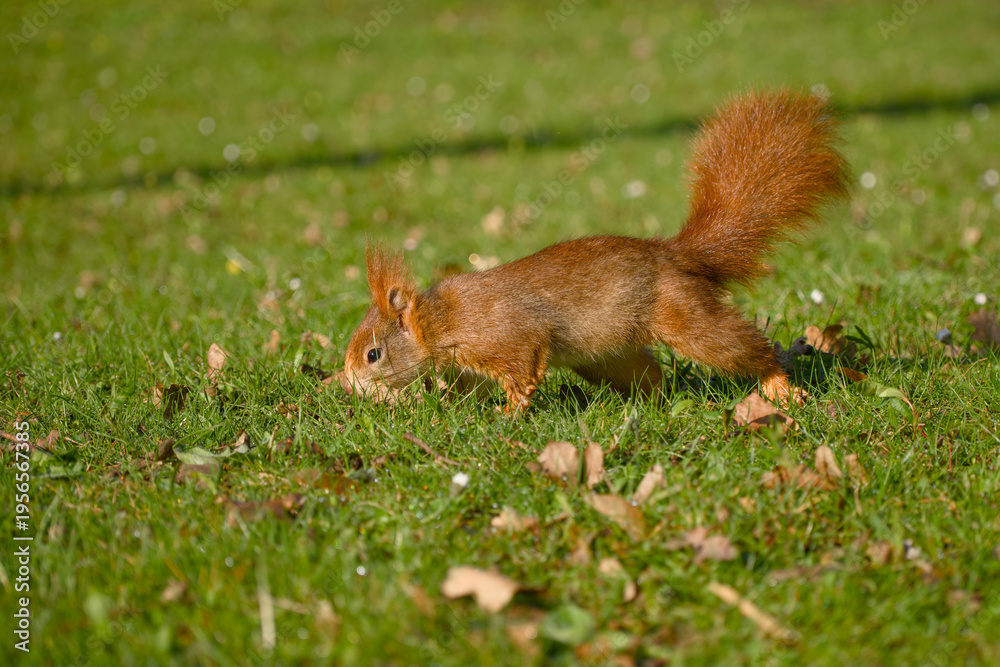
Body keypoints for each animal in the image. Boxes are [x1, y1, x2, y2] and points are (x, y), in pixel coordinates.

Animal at [341, 89, 850, 413]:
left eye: (373, 355)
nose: (346, 387)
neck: (437, 321)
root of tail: (677, 256)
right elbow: (468, 391)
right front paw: (450, 410)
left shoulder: (505, 334)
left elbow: (522, 366)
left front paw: (508, 415)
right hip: (608, 358)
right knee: (651, 378)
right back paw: (651, 407)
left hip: (684, 315)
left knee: (740, 347)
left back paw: (779, 385)